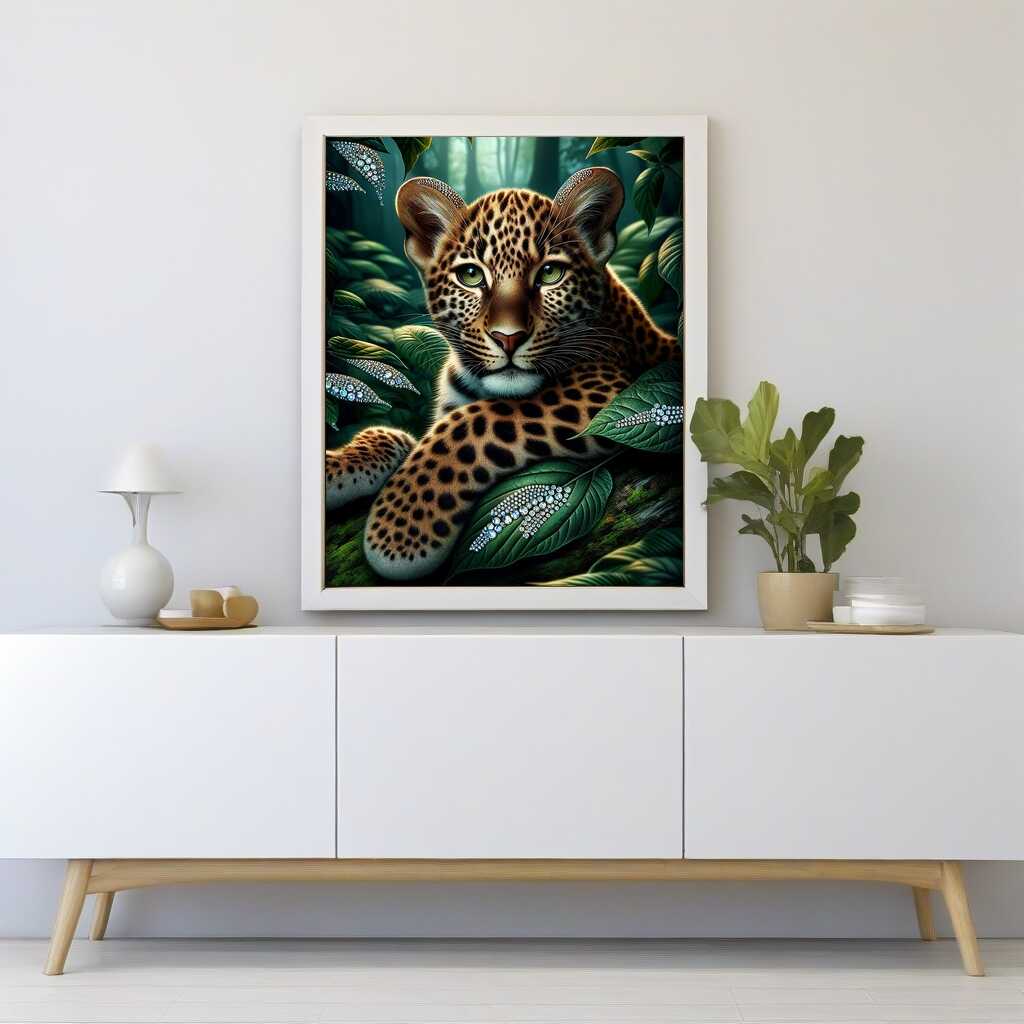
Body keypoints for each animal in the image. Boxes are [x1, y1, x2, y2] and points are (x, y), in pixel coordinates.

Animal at [325, 165, 679, 581]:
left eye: (551, 273)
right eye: (471, 276)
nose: (507, 337)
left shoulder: (609, 391)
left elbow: (478, 420)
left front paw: (403, 524)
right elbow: (391, 434)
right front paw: (333, 469)